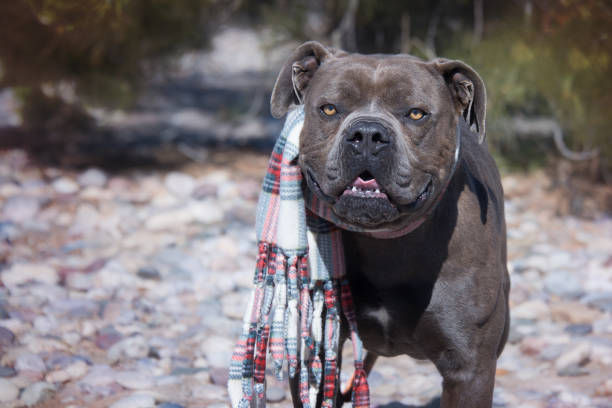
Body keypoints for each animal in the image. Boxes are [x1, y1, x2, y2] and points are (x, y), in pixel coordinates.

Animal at [270, 42, 510, 408]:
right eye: (329, 109)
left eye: (416, 113)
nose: (367, 134)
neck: (384, 242)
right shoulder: (316, 350)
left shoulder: (470, 369)